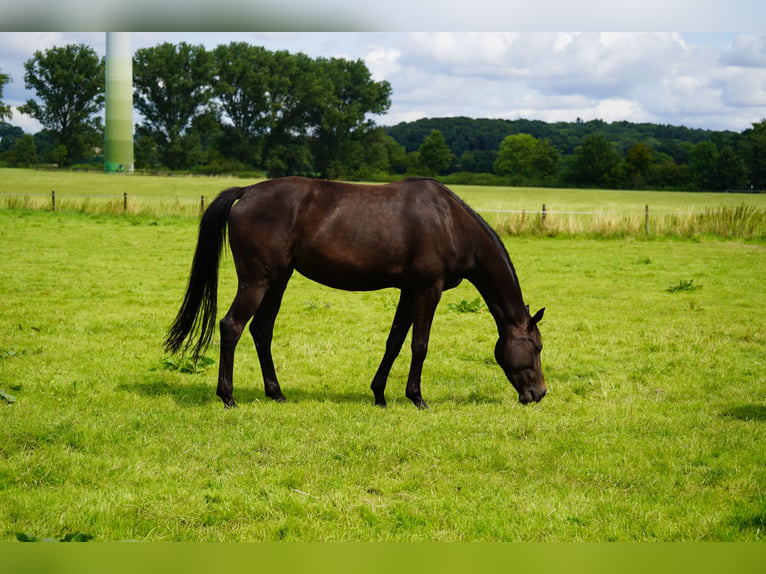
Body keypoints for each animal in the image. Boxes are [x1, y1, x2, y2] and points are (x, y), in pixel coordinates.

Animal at [165, 177, 544, 410]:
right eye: (537, 347)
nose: (539, 393)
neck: (450, 222)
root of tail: (248, 192)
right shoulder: (428, 289)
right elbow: (419, 345)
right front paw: (417, 397)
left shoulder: (409, 290)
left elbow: (395, 341)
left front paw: (380, 394)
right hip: (257, 281)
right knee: (232, 326)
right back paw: (228, 397)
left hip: (278, 279)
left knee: (262, 330)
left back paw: (276, 393)